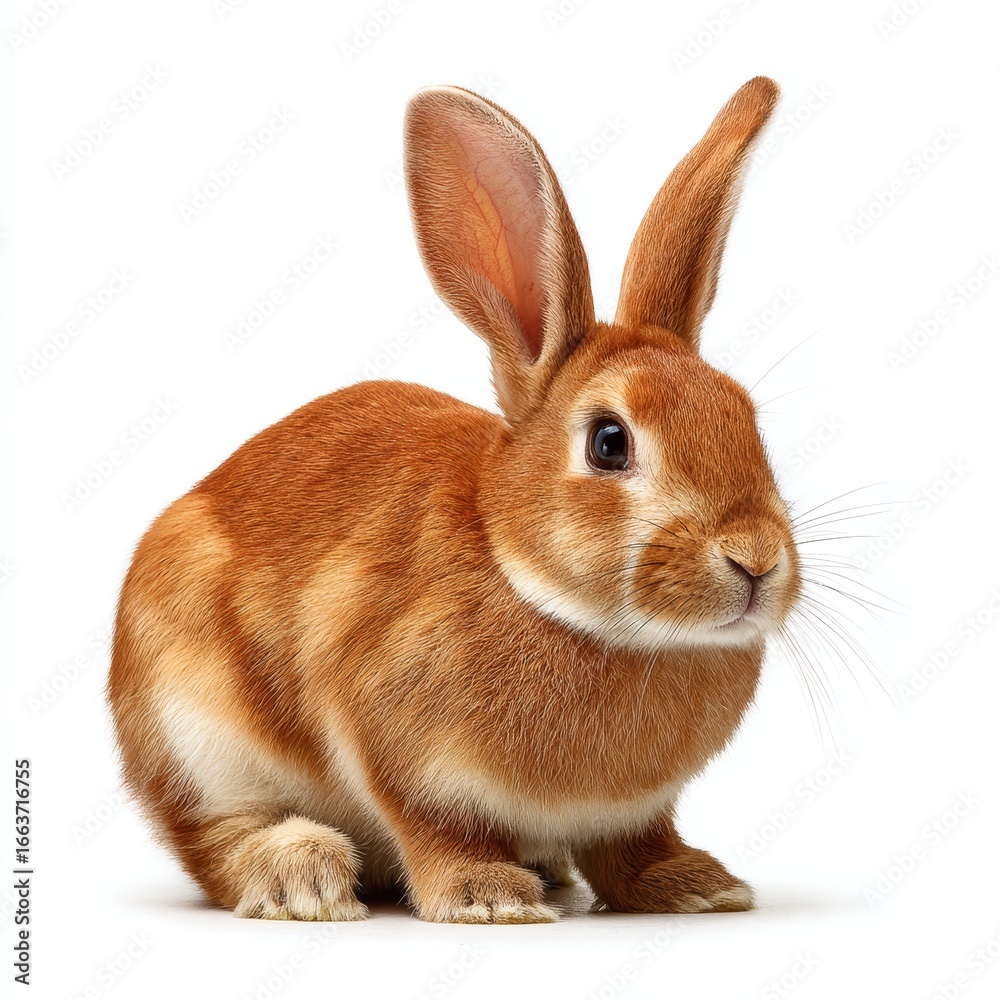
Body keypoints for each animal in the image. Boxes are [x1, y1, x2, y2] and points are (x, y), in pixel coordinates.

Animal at [108, 76, 800, 924]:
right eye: (609, 442)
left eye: (747, 419)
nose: (756, 559)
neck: (527, 577)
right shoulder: (388, 736)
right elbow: (435, 825)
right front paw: (489, 898)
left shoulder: (636, 812)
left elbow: (634, 847)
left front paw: (697, 887)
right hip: (192, 732)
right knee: (214, 842)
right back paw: (302, 874)